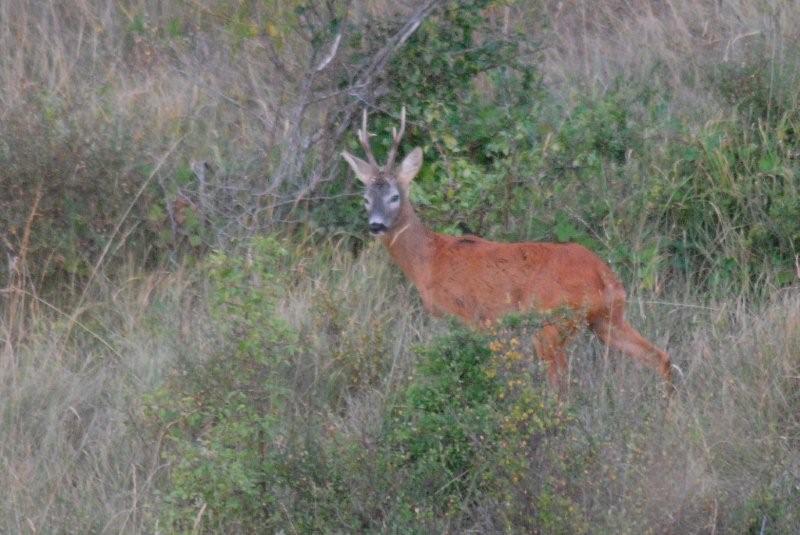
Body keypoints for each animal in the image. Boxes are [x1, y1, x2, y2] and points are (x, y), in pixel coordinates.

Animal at [340, 109, 672, 394]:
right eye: (365, 198)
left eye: (395, 196)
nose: (376, 225)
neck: (430, 260)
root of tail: (604, 275)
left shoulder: (470, 316)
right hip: (608, 319)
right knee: (661, 357)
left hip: (552, 323)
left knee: (561, 385)